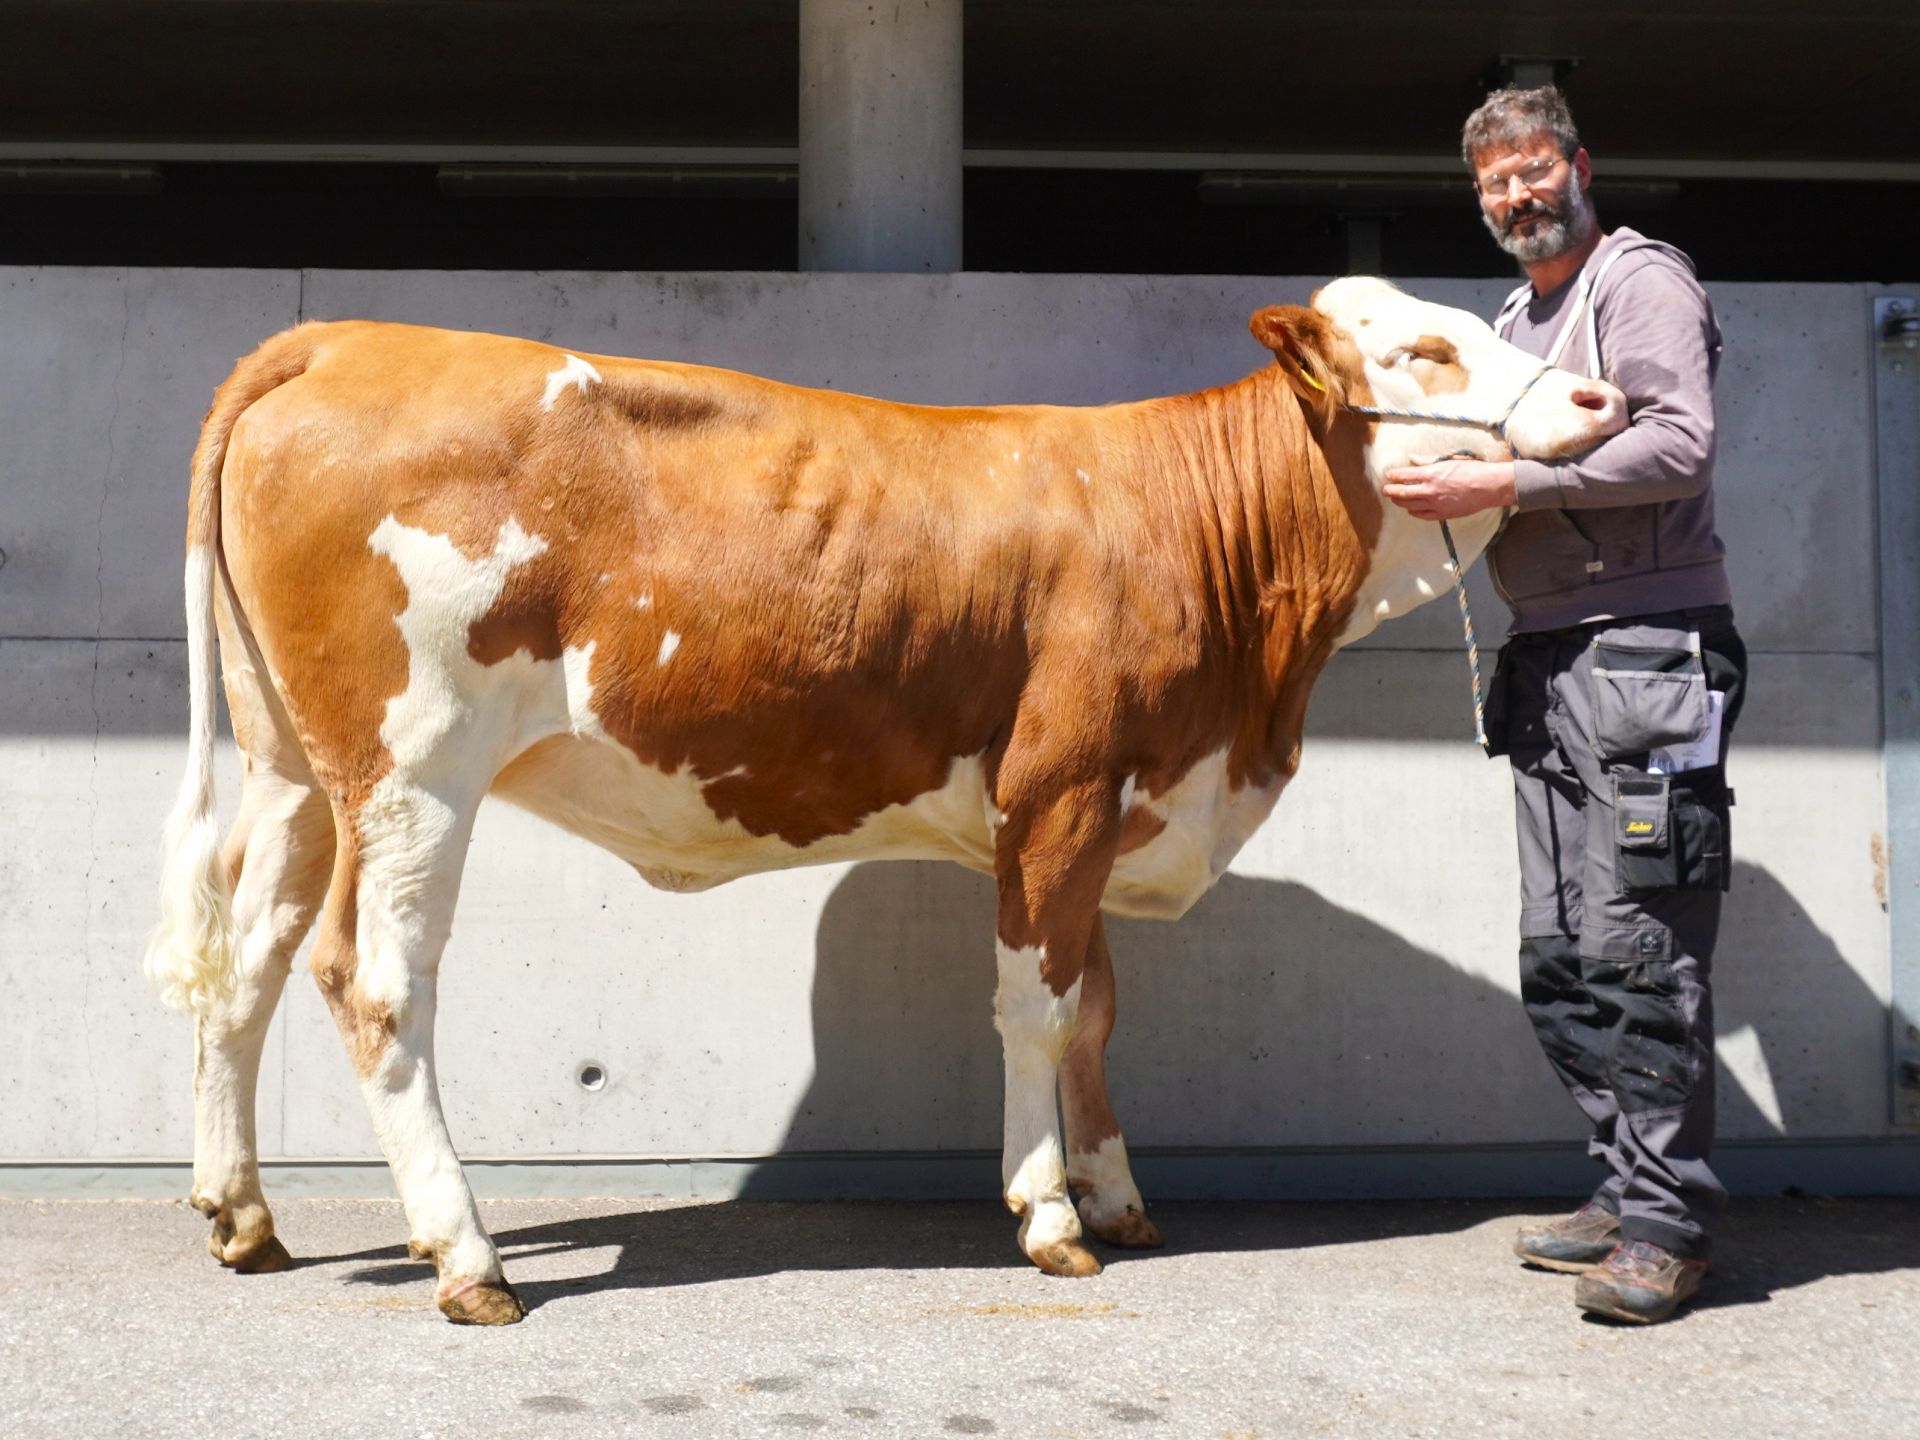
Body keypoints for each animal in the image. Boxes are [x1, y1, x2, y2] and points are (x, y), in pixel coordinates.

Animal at [145, 278, 1626, 1324]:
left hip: (298, 771)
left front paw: (1119, 1194)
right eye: (1428, 351)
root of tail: (340, 339)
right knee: (375, 978)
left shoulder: (1100, 812)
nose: (1601, 398)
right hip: (416, 769)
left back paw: (242, 1217)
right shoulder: (1062, 786)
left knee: (247, 967)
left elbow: (1096, 1007)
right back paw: (466, 1257)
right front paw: (1050, 1217)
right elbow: (1037, 1008)